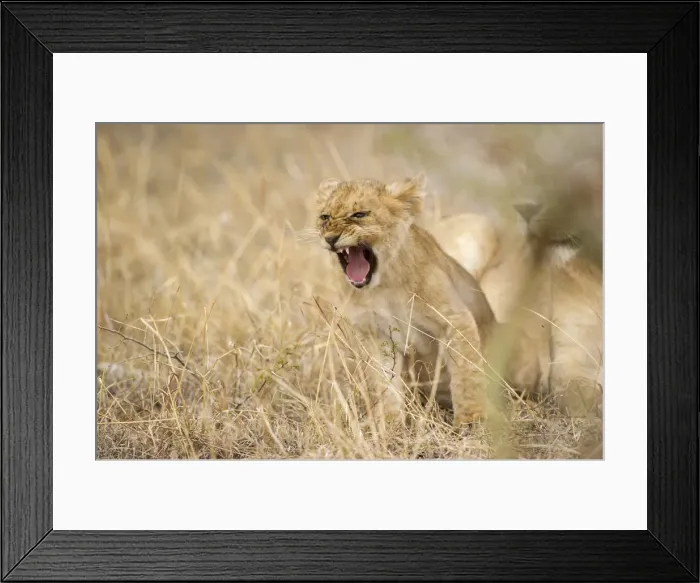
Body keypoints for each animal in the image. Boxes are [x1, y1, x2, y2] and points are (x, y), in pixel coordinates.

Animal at [314, 174, 498, 425]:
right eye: (325, 217)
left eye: (359, 214)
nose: (331, 239)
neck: (383, 286)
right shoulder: (376, 335)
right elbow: (384, 382)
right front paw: (390, 423)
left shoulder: (455, 318)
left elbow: (466, 371)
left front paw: (471, 419)